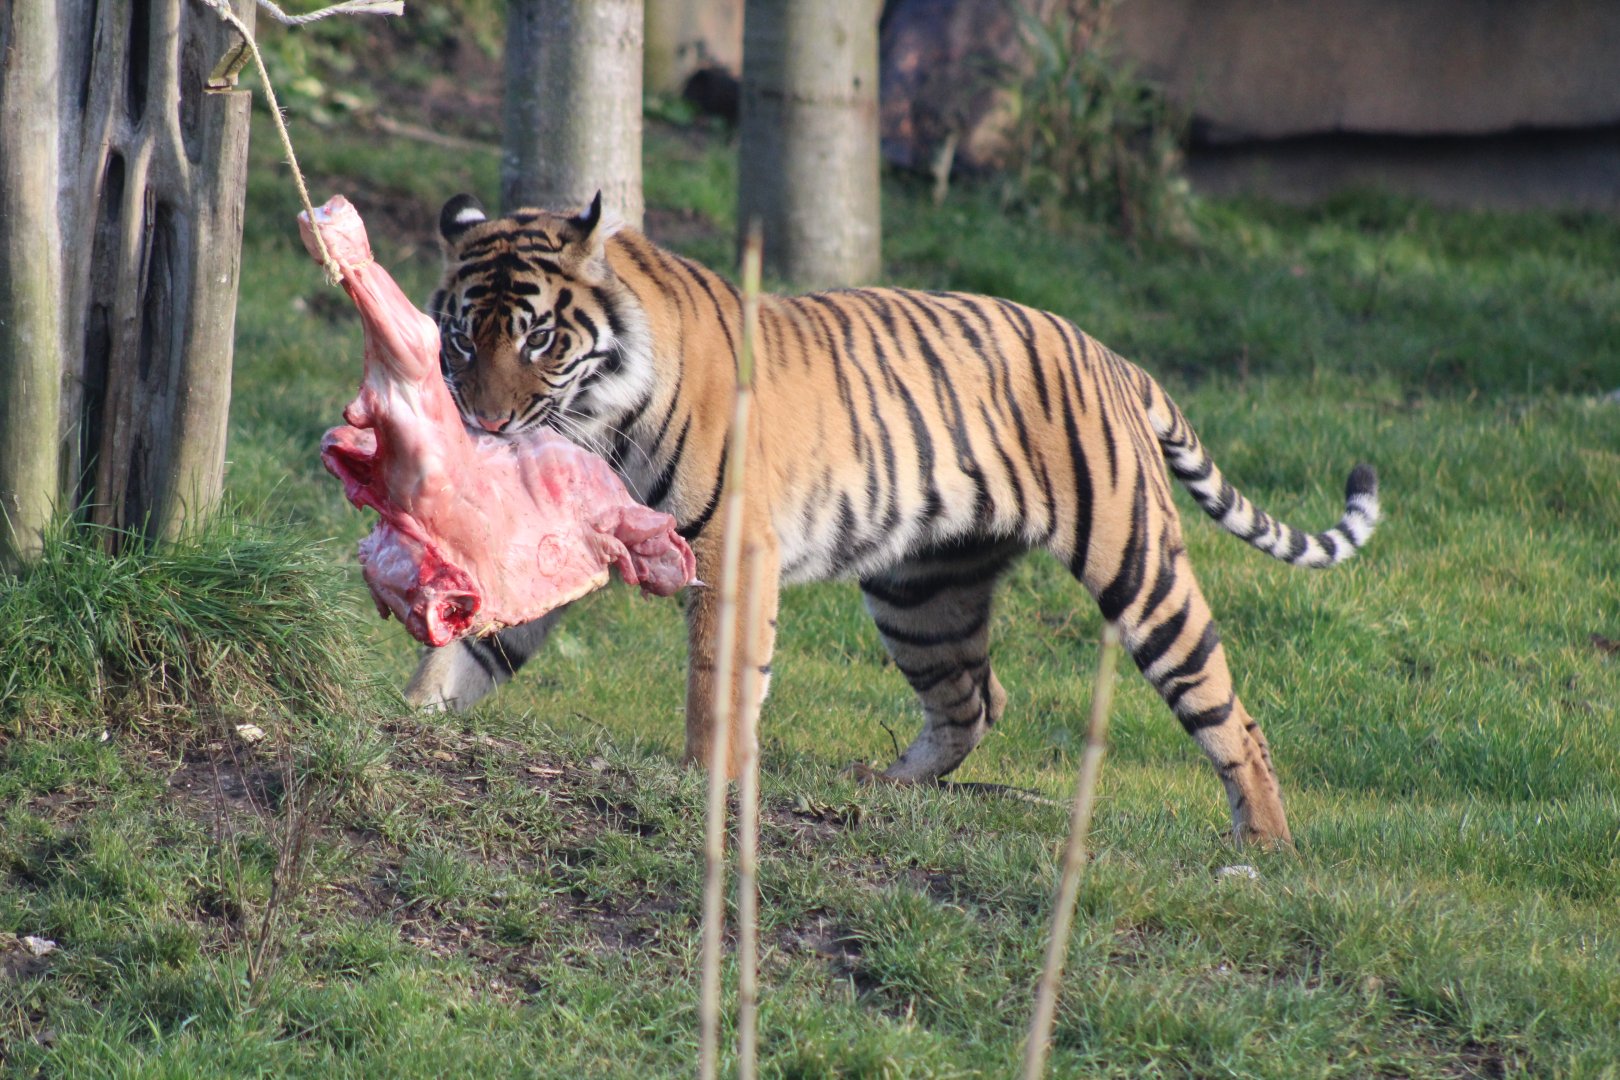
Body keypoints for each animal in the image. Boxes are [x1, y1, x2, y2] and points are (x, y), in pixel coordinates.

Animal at [404, 191, 1380, 847]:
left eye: (537, 338)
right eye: (459, 337)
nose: (484, 423)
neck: (598, 412)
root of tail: (1114, 357)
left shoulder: (730, 548)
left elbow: (716, 681)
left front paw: (707, 779)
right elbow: (484, 641)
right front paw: (418, 714)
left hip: (1138, 567)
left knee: (1228, 713)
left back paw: (1263, 848)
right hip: (923, 593)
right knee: (976, 700)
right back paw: (885, 788)